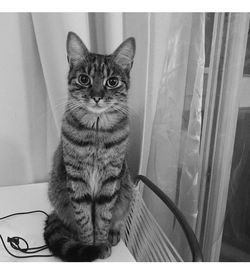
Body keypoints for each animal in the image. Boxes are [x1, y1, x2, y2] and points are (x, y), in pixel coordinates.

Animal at [43, 31, 137, 262]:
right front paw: (89, 246)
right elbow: (84, 218)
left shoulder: (110, 178)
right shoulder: (77, 178)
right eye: (84, 79)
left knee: (116, 218)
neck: (96, 131)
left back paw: (113, 234)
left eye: (112, 81)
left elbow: (103, 216)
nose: (96, 96)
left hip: (126, 192)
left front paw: (101, 242)